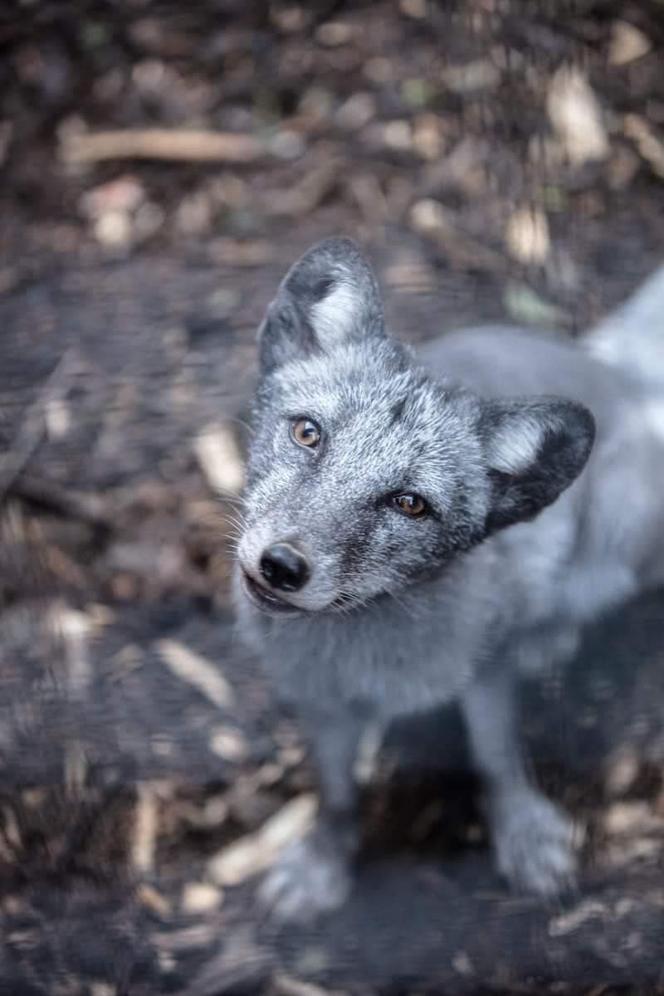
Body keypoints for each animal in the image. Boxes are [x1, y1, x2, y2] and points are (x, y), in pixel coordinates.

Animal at [233, 237, 664, 924]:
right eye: (307, 433)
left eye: (410, 504)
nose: (282, 566)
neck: (371, 659)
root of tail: (611, 369)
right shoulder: (321, 703)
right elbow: (336, 795)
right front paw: (324, 863)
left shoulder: (486, 672)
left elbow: (497, 761)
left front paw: (522, 834)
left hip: (620, 548)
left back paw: (549, 638)